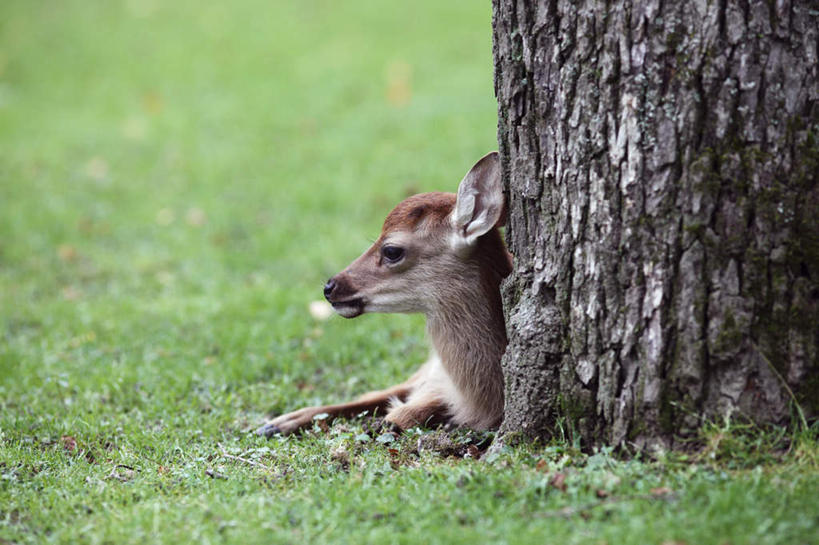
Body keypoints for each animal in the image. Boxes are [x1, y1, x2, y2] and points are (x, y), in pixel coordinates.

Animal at [256, 152, 511, 437]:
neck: (479, 401)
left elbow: (402, 413)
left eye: (391, 251)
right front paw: (281, 421)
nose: (329, 287)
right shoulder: (431, 374)